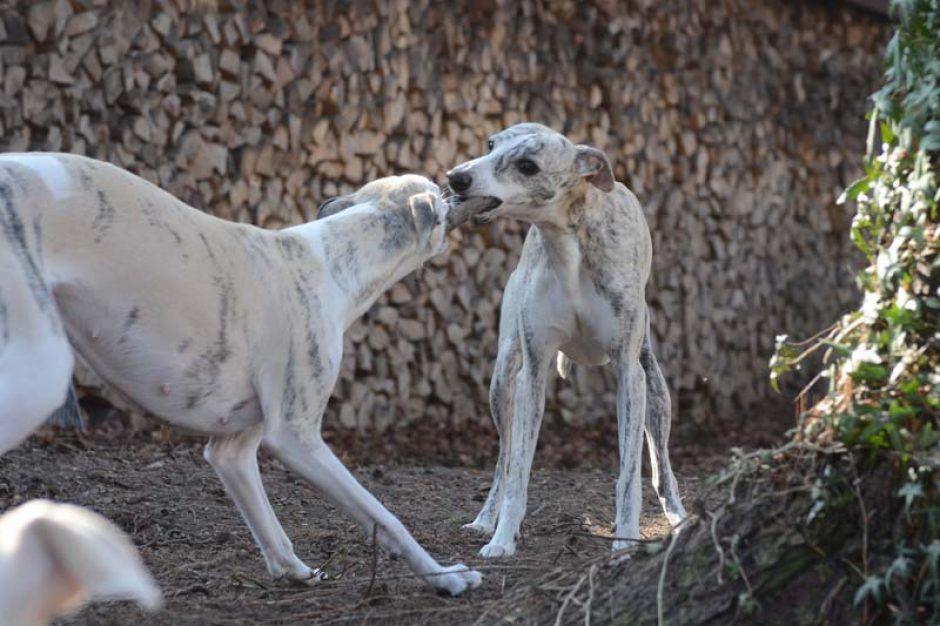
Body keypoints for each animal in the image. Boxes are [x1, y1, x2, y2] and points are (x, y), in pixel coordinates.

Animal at [0, 152, 482, 596]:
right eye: (437, 196)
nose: (457, 184)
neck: (333, 262)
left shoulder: (233, 447)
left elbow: (271, 528)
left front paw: (296, 571)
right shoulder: (295, 435)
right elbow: (382, 514)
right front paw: (446, 577)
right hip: (40, 367)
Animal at [444, 122, 688, 556]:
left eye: (528, 165)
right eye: (490, 144)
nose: (457, 178)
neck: (568, 249)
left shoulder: (629, 375)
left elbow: (629, 475)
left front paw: (625, 540)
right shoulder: (533, 372)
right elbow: (518, 470)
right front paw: (503, 539)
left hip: (654, 386)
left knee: (661, 464)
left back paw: (678, 516)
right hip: (503, 381)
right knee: (504, 458)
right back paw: (485, 519)